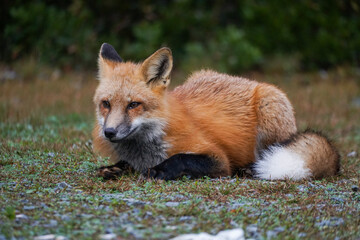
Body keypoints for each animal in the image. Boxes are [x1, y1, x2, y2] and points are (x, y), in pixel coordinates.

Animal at [93, 43, 340, 180]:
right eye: (106, 104)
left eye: (133, 105)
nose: (109, 132)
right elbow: (124, 164)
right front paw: (114, 168)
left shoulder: (218, 159)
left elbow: (181, 158)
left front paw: (159, 171)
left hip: (270, 112)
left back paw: (249, 170)